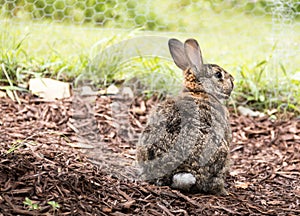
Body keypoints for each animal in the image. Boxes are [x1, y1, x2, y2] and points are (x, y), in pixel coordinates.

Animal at [136, 38, 234, 196]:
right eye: (218, 75)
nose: (233, 81)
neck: (199, 91)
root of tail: (176, 174)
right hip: (220, 153)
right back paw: (223, 191)